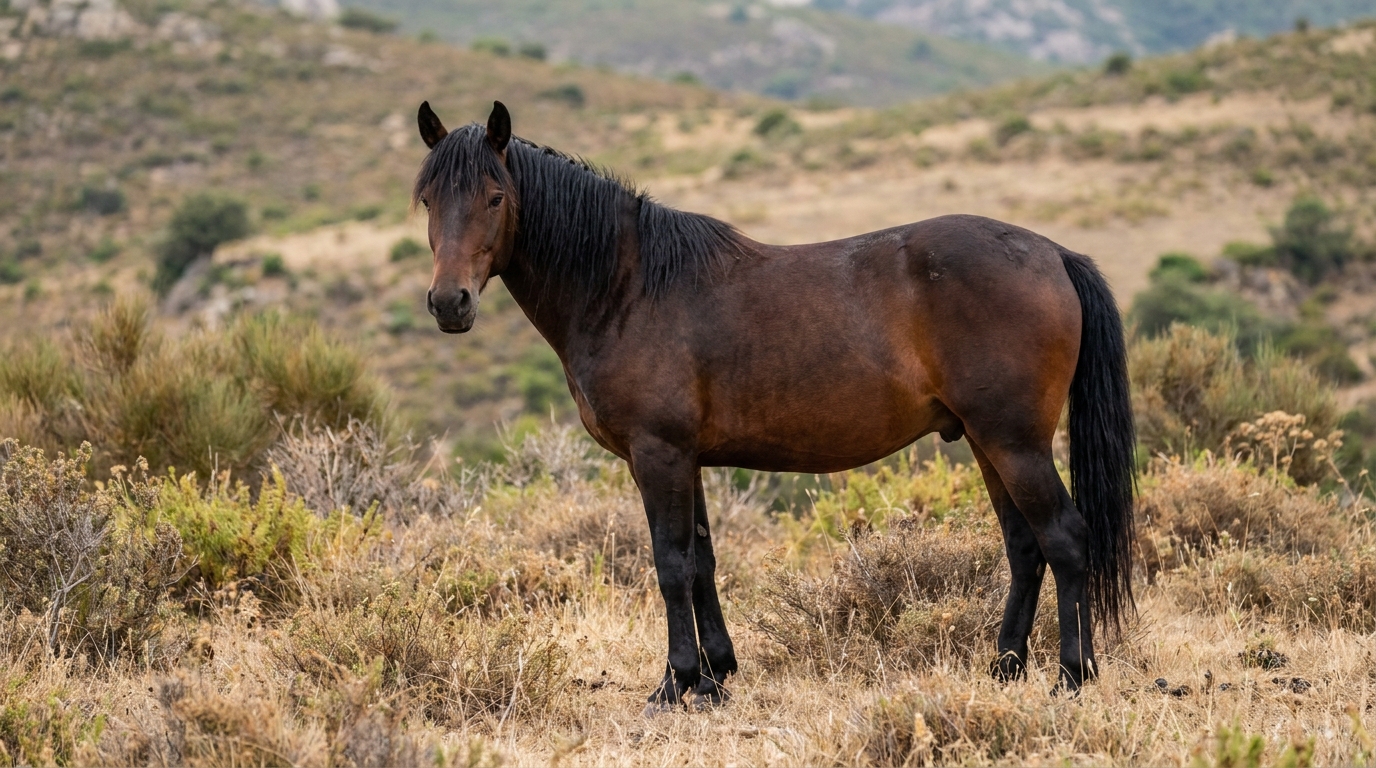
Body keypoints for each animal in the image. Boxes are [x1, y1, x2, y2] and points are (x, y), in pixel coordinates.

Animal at [411, 100, 1136, 711]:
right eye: (426, 199)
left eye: (495, 197)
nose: (449, 304)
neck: (628, 288)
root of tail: (1052, 253)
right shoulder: (687, 459)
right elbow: (701, 560)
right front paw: (714, 676)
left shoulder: (658, 455)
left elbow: (670, 564)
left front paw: (675, 685)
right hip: (989, 443)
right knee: (1025, 546)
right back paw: (1006, 667)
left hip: (1015, 443)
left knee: (1065, 538)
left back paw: (1072, 676)